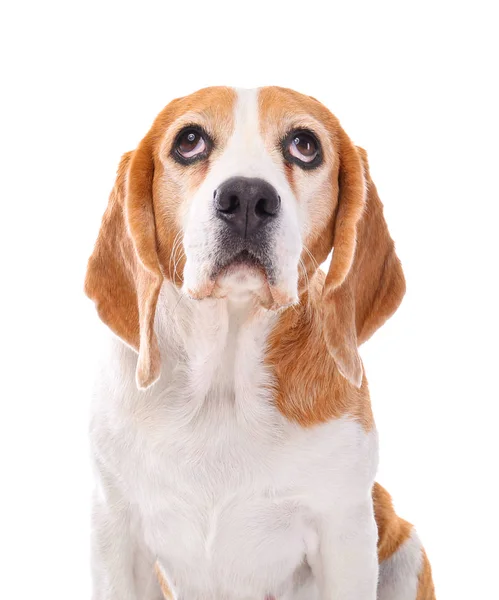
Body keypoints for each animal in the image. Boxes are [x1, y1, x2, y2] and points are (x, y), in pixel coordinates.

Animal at [87, 85, 438, 600]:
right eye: (189, 141)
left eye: (305, 145)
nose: (247, 197)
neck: (223, 385)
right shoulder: (116, 532)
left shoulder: (344, 533)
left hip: (404, 547)